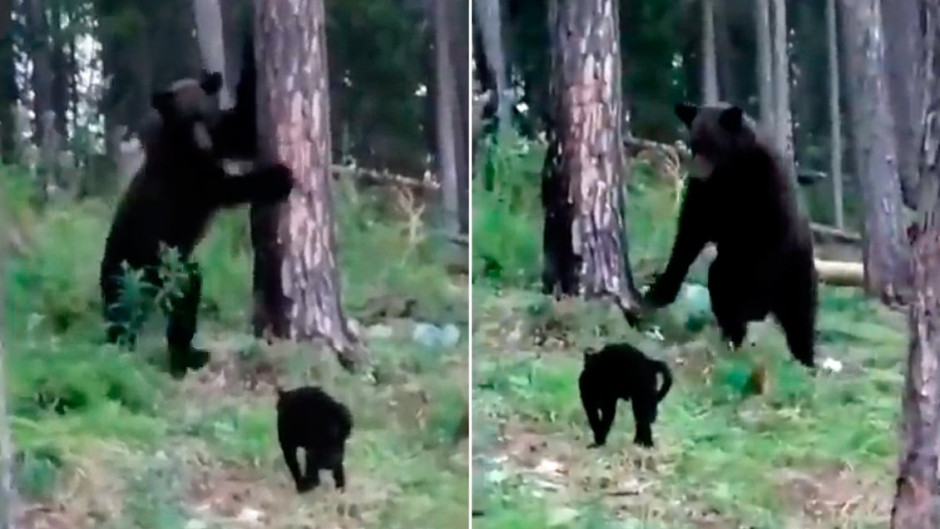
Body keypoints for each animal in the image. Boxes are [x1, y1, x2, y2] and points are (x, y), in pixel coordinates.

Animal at [99, 70, 294, 378]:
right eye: (187, 120)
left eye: (204, 115)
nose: (203, 142)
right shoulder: (186, 173)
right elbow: (226, 187)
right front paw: (280, 177)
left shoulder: (219, 137)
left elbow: (241, 127)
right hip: (138, 268)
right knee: (125, 313)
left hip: (173, 272)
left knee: (184, 301)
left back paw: (190, 354)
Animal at [644, 102, 818, 370]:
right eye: (694, 144)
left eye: (713, 144)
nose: (698, 173)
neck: (732, 171)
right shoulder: (707, 196)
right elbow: (688, 237)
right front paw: (658, 291)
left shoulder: (763, 196)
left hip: (794, 273)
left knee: (800, 318)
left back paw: (804, 359)